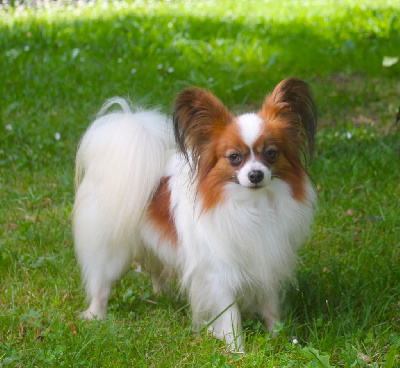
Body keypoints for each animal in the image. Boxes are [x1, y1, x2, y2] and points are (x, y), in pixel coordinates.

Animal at [74, 77, 318, 350]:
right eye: (234, 157)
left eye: (271, 153)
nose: (255, 175)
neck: (251, 205)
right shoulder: (219, 273)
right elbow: (231, 317)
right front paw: (238, 351)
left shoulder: (266, 260)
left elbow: (270, 305)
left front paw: (279, 338)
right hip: (114, 251)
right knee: (101, 282)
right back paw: (96, 315)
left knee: (156, 269)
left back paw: (165, 295)